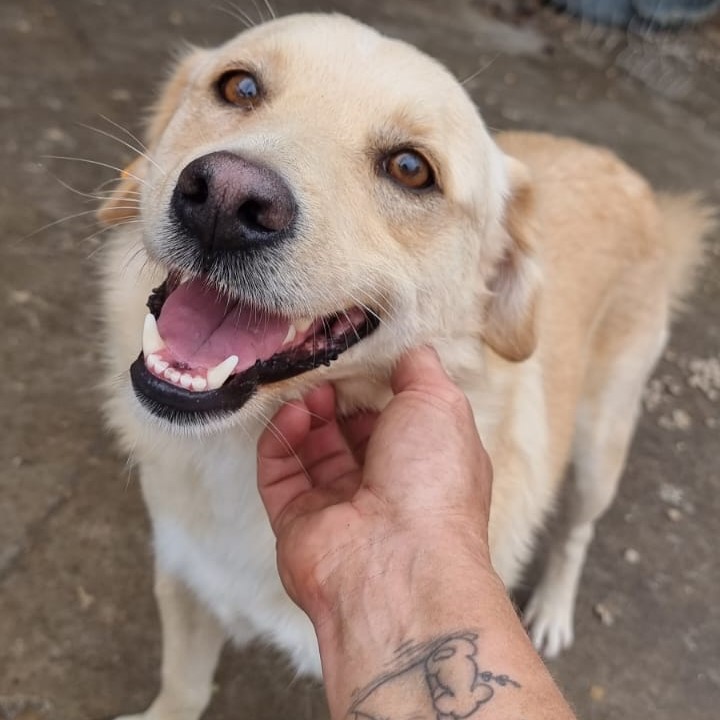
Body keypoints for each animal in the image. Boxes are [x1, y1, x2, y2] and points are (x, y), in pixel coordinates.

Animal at [98, 13, 711, 720]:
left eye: (411, 168)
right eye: (240, 87)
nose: (224, 199)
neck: (239, 446)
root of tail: (625, 171)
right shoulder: (187, 579)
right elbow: (183, 687)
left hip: (599, 450)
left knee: (577, 533)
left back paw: (554, 610)